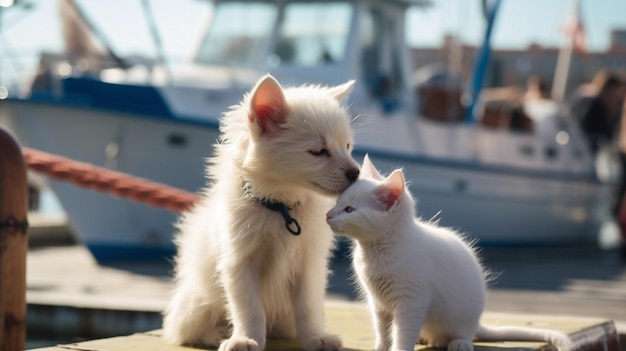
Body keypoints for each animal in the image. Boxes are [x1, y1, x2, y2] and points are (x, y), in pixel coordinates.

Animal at [326, 156, 572, 351]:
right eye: (337, 203)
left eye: (349, 210)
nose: (328, 214)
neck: (376, 251)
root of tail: (477, 321)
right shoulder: (378, 304)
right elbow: (383, 331)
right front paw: (380, 347)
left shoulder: (411, 301)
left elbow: (402, 332)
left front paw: (399, 347)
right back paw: (426, 338)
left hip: (464, 314)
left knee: (465, 332)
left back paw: (459, 342)